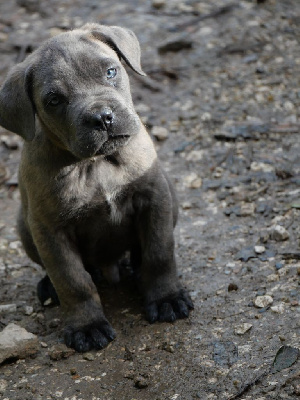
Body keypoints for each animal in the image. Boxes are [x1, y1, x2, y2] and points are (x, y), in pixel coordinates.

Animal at [0, 23, 192, 352]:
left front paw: (166, 297)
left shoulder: (155, 198)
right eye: (54, 100)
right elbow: (73, 281)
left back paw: (134, 268)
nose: (102, 117)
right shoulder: (50, 230)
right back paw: (49, 287)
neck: (95, 163)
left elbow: (159, 253)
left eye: (111, 71)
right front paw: (86, 326)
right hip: (24, 226)